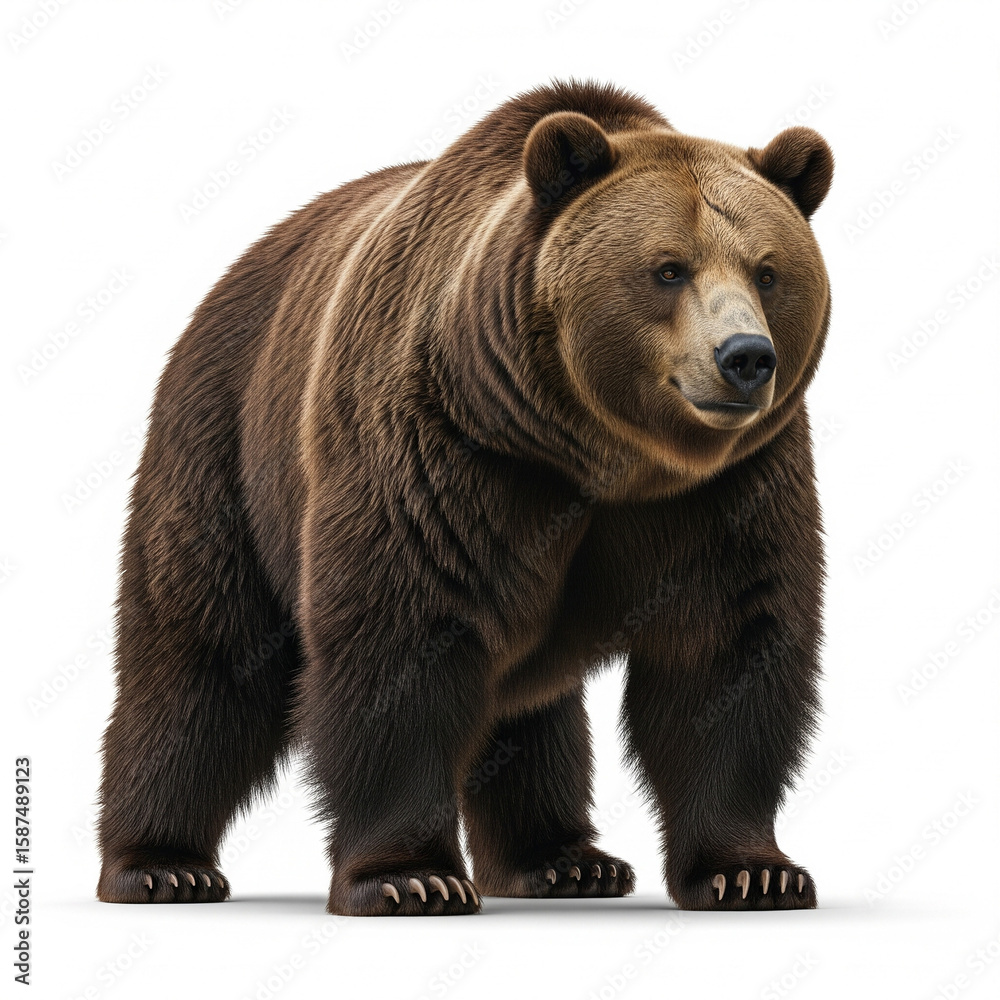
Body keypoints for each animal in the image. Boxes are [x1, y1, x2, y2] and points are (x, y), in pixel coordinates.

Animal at [96, 79, 833, 915]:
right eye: (669, 269)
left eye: (768, 270)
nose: (744, 357)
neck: (597, 453)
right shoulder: (444, 452)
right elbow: (401, 641)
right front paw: (408, 876)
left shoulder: (728, 489)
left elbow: (726, 650)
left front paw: (753, 871)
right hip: (228, 445)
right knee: (202, 656)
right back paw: (160, 864)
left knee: (529, 703)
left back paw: (564, 860)